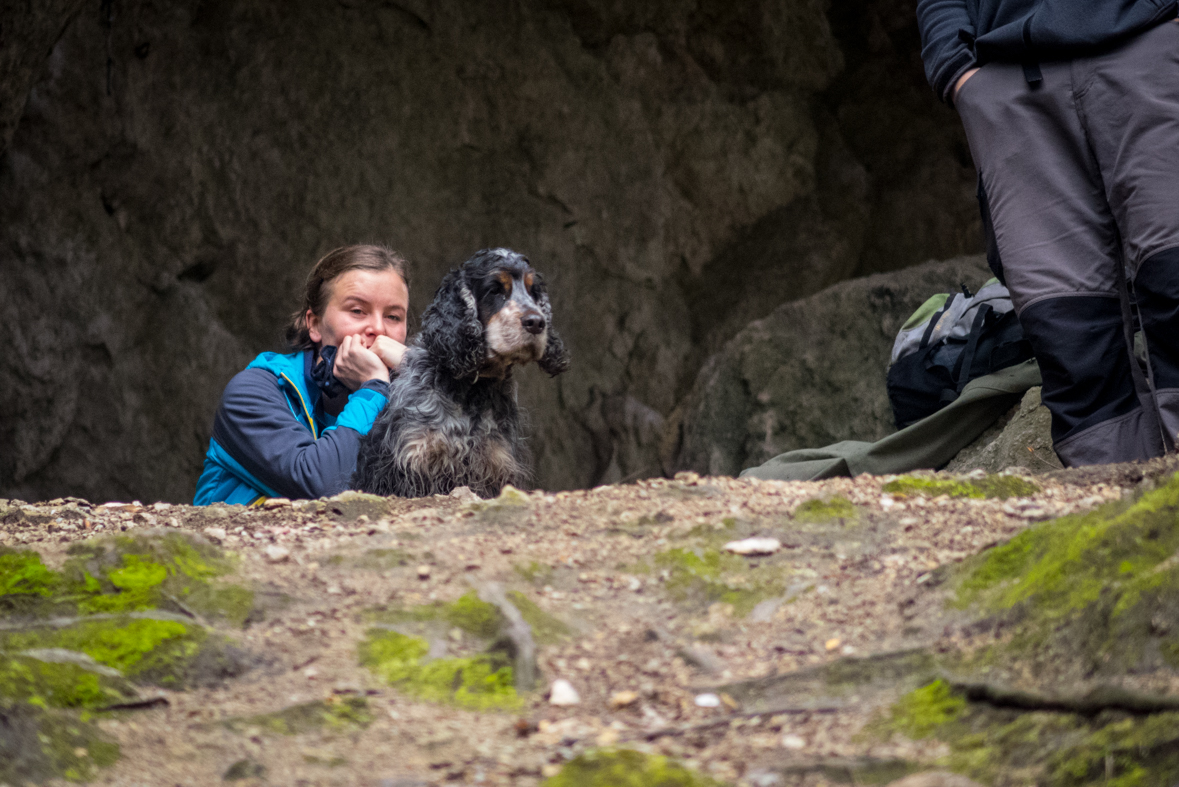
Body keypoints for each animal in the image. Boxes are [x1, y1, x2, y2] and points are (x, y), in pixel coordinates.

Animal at [351, 248, 568, 497]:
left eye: (533, 292)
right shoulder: (408, 462)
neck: (472, 388)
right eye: (495, 290)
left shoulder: (496, 465)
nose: (537, 322)